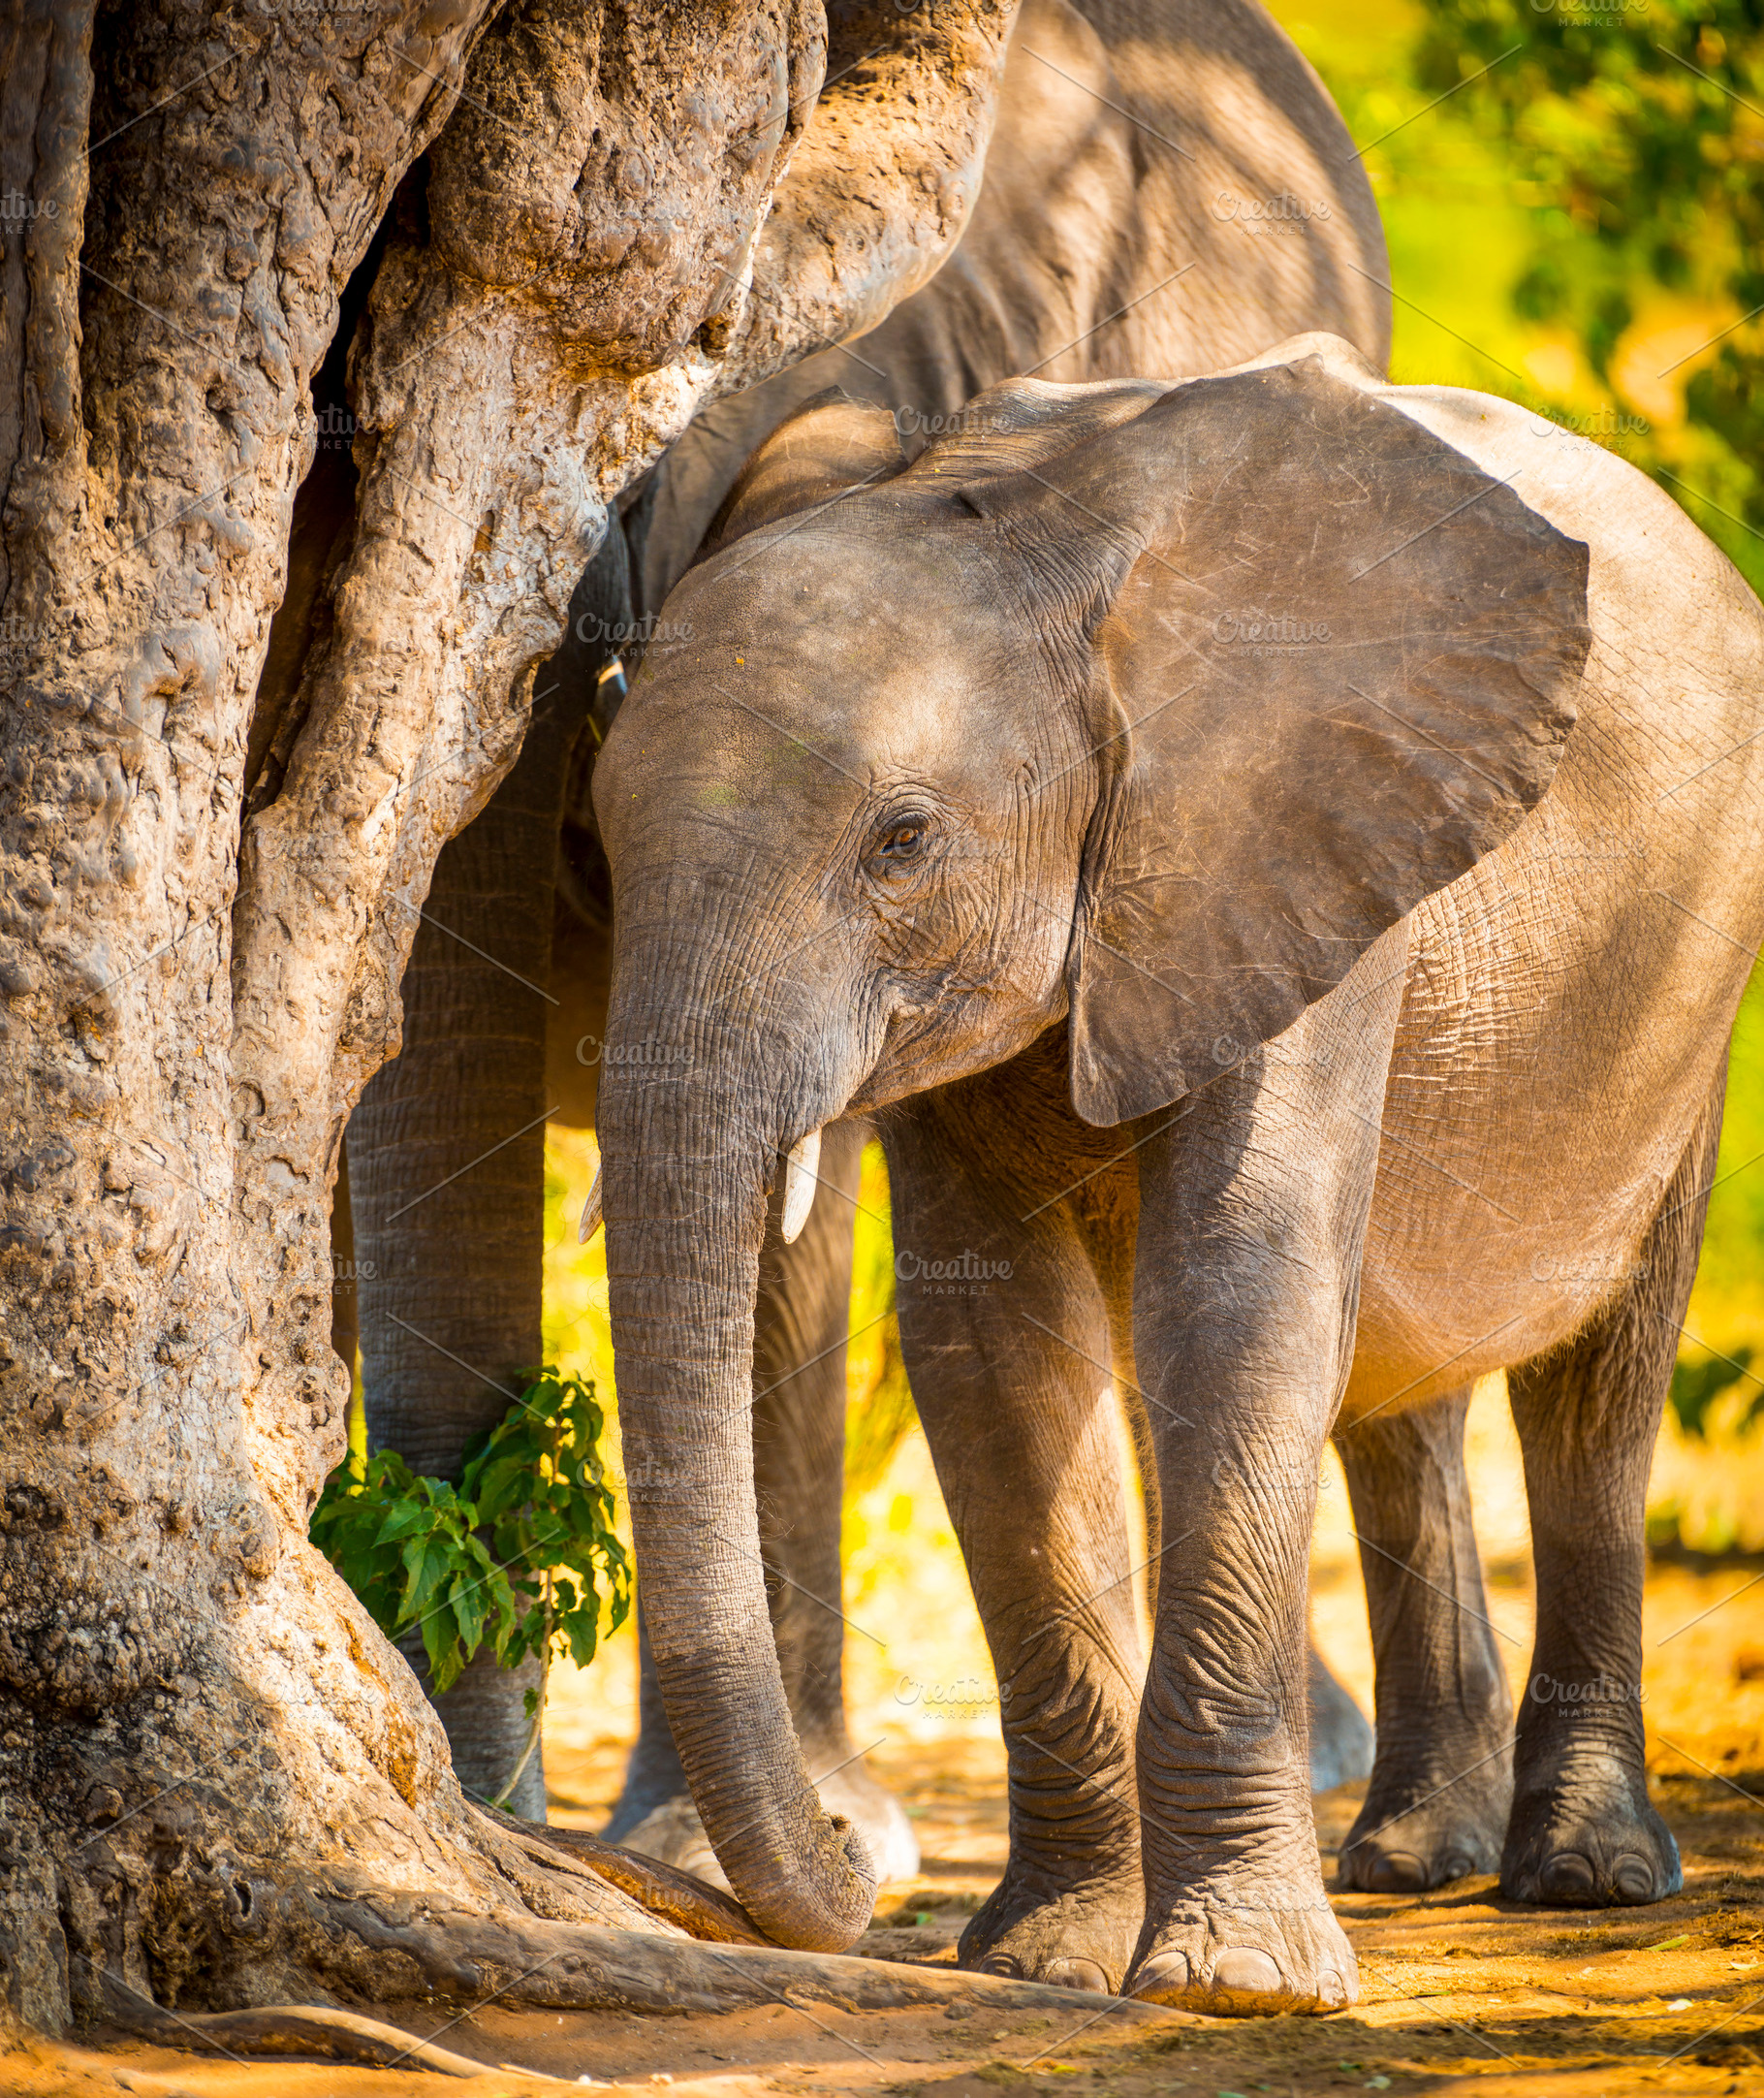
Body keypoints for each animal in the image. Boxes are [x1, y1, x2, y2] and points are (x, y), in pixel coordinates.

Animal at [585, 330, 1764, 2017]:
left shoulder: (1294, 829)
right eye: (603, 839)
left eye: (901, 841)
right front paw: (1053, 1959)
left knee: (1595, 1388)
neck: (1018, 536)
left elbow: (1236, 1295)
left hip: (1689, 973)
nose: (848, 1874)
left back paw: (1585, 1876)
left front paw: (1232, 1985)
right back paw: (1417, 1857)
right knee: (1396, 1388)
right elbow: (994, 1349)